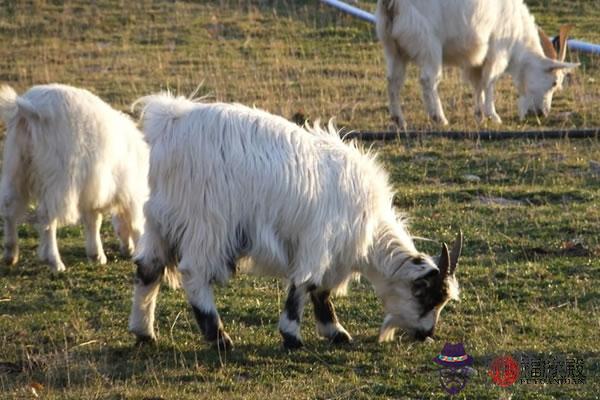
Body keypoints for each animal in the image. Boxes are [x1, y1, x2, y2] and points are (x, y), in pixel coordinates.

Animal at [0, 84, 149, 272]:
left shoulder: (92, 191)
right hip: (59, 178)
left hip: (16, 166)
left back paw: (10, 254)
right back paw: (55, 262)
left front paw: (96, 255)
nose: (128, 252)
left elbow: (93, 220)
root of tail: (30, 107)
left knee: (9, 209)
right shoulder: (123, 191)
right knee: (46, 218)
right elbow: (131, 225)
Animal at [129, 92, 462, 348]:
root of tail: (171, 122)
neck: (369, 230)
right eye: (427, 295)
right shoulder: (318, 241)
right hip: (209, 223)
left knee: (149, 269)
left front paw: (335, 332)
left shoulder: (330, 253)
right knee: (194, 273)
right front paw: (292, 336)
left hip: (160, 217)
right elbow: (306, 284)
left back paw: (144, 332)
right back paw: (220, 338)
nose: (427, 334)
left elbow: (321, 291)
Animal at [378, 0, 580, 126]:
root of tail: (392, 4)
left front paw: (479, 115)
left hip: (393, 47)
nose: (542, 113)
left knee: (393, 80)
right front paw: (493, 115)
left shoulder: (476, 61)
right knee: (428, 80)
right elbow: (490, 82)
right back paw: (439, 118)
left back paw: (399, 120)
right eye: (554, 82)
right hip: (429, 44)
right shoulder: (497, 52)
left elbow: (478, 85)